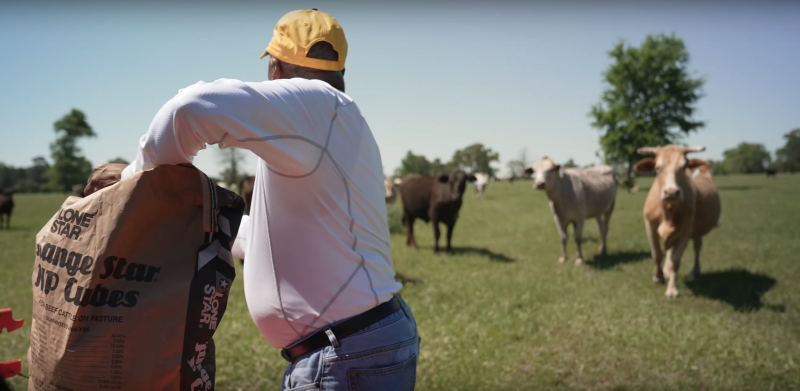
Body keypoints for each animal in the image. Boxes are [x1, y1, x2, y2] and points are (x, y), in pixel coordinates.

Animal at [636, 145, 720, 298]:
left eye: (683, 166)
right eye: (658, 168)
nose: (671, 192)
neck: (668, 212)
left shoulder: (686, 231)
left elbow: (675, 260)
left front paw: (672, 289)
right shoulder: (650, 226)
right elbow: (657, 255)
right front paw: (658, 277)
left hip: (697, 231)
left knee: (697, 247)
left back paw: (695, 270)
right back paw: (666, 272)